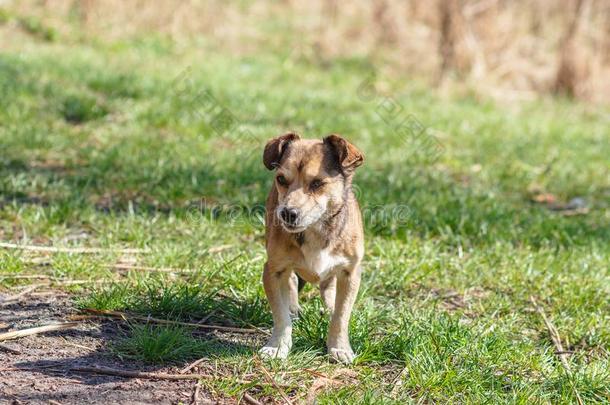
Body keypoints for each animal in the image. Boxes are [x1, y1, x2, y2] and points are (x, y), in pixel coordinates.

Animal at [258, 133, 364, 362]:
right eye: (281, 179)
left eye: (317, 183)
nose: (287, 213)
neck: (315, 229)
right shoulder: (273, 271)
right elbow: (280, 315)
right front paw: (278, 346)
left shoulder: (350, 272)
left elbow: (342, 315)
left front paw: (339, 347)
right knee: (291, 283)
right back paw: (294, 308)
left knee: (328, 288)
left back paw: (329, 306)